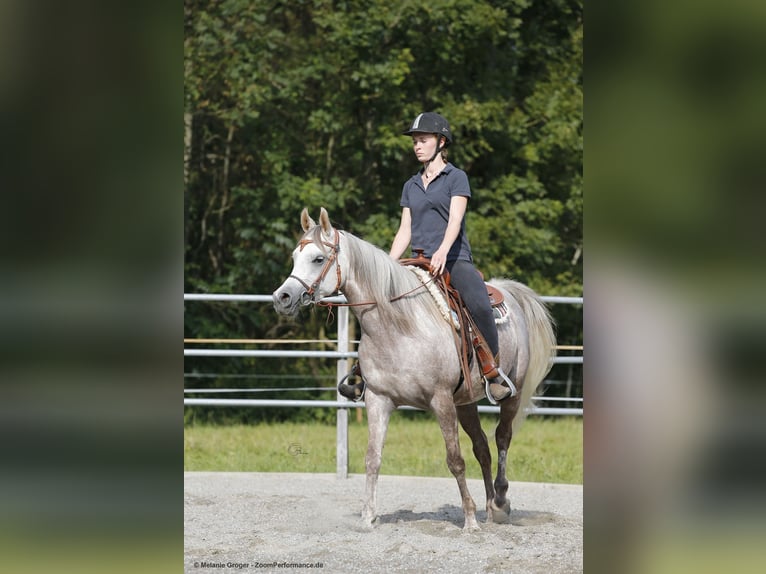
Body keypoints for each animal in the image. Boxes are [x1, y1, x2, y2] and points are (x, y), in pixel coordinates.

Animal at [272, 208, 556, 532]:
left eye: (318, 259)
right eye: (295, 256)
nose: (282, 298)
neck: (399, 326)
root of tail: (508, 291)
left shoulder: (441, 400)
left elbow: (454, 459)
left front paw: (469, 520)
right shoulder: (378, 400)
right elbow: (373, 458)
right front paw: (368, 517)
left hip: (512, 393)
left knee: (502, 438)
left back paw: (499, 502)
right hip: (466, 402)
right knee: (482, 447)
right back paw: (488, 508)